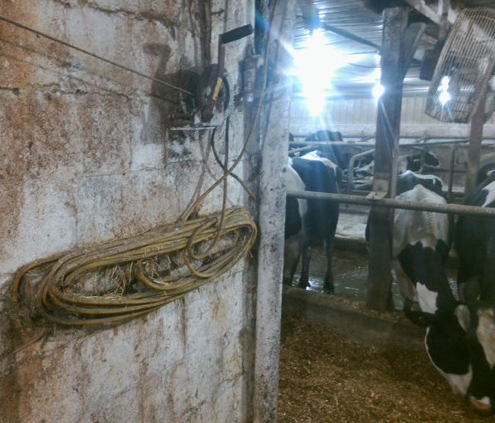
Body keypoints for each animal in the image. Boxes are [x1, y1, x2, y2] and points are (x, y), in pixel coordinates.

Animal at [284, 151, 342, 294]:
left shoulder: (293, 243)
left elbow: (286, 280)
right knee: (308, 251)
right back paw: (303, 282)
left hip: (331, 222)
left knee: (329, 250)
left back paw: (328, 285)